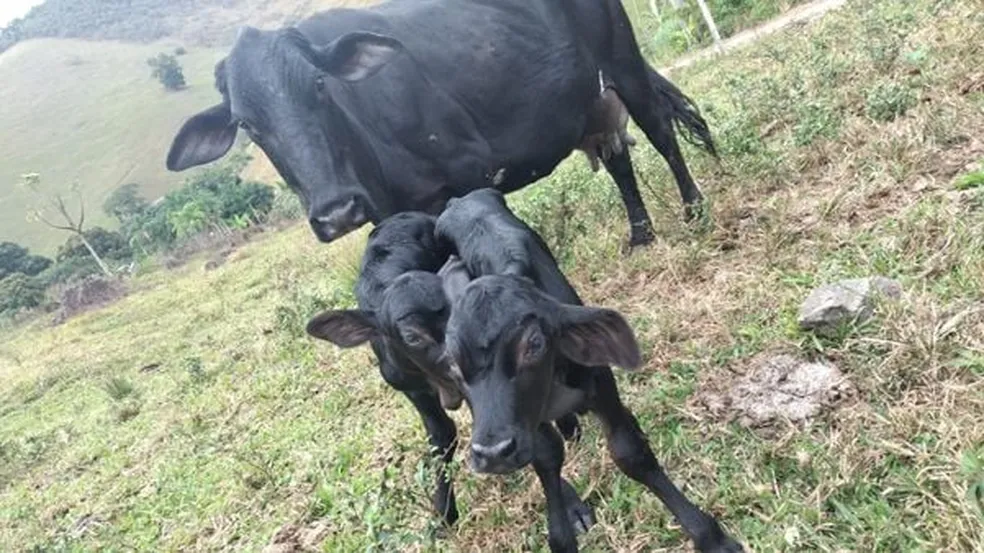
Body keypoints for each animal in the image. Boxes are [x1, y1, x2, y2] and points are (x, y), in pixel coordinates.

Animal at [163, 0, 716, 246]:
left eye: (319, 85)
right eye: (247, 124)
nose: (337, 212)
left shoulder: (471, 172)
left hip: (624, 67)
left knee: (661, 134)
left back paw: (695, 212)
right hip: (591, 103)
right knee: (619, 159)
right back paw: (641, 236)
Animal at [308, 210, 584, 528]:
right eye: (413, 336)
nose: (472, 361)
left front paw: (572, 508)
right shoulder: (412, 388)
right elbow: (441, 436)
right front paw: (443, 511)